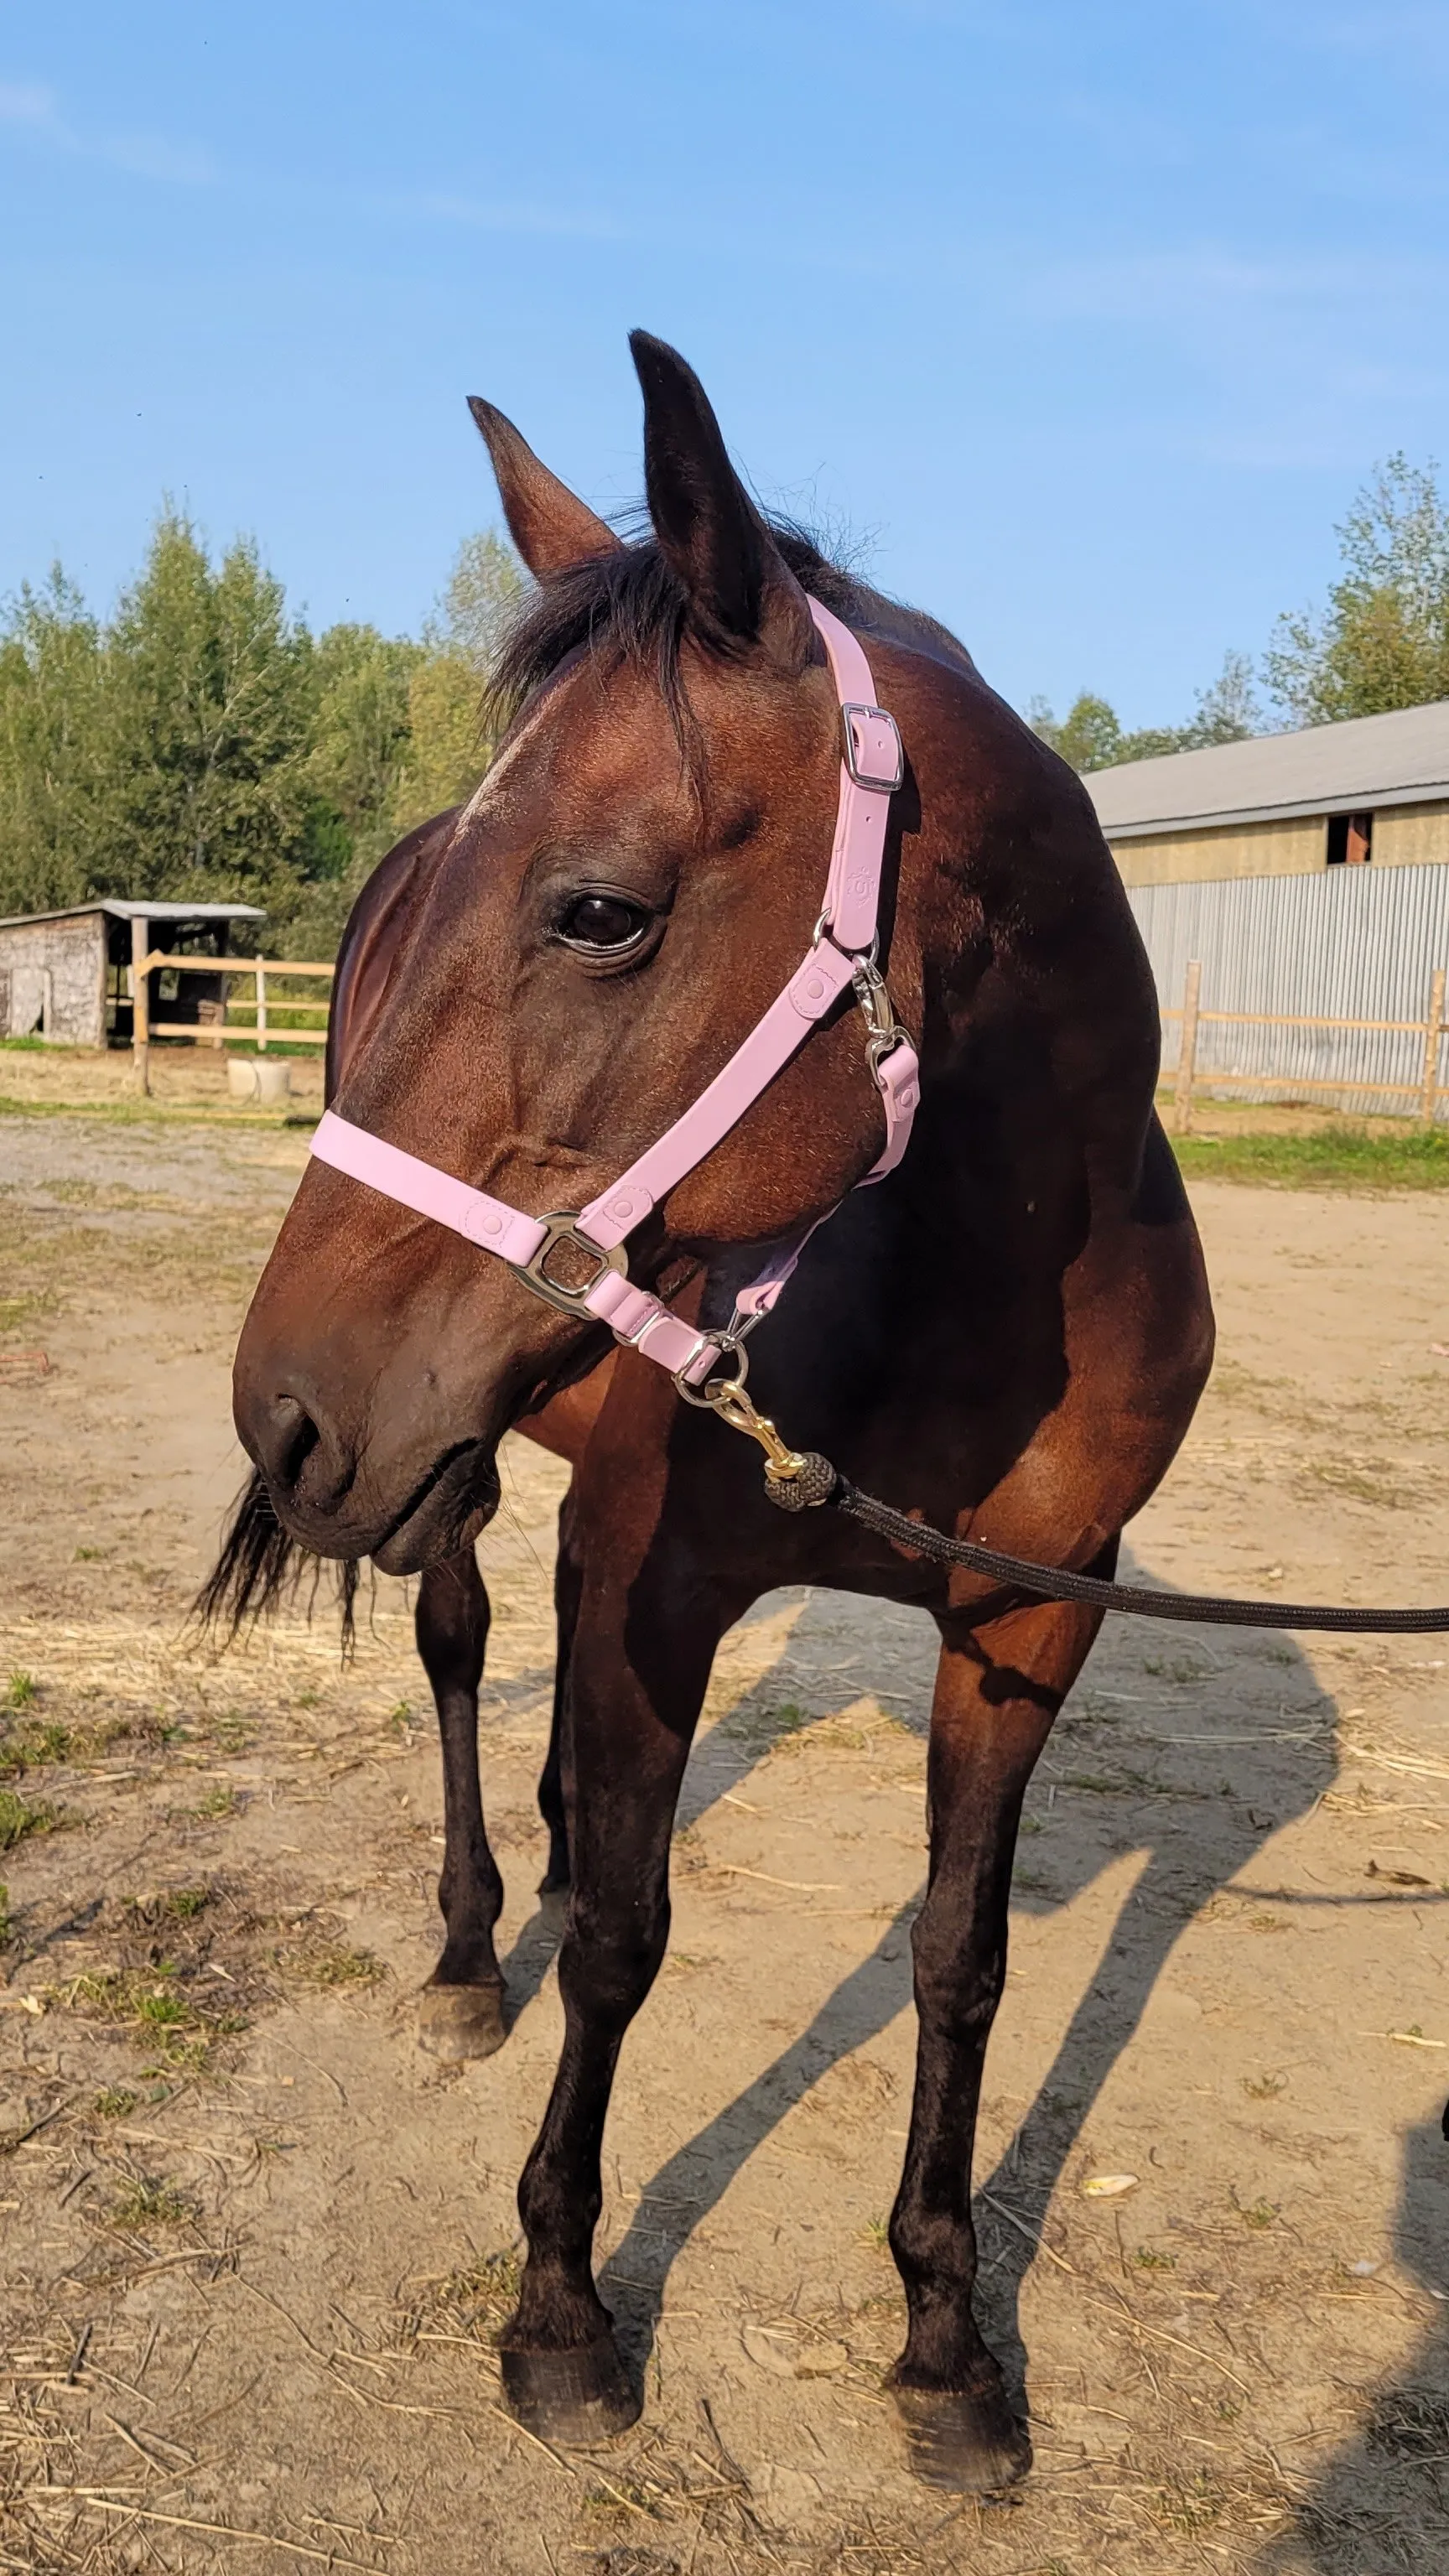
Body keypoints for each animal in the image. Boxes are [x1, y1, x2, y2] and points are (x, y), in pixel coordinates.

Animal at [209, 332, 1212, 2483]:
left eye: (596, 910)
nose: (285, 1417)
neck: (956, 1275)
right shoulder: (653, 1577)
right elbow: (619, 1934)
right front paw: (560, 2310)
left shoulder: (1028, 1617)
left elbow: (959, 1956)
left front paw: (944, 2340)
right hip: (452, 1466)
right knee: (459, 1645)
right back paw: (463, 1946)